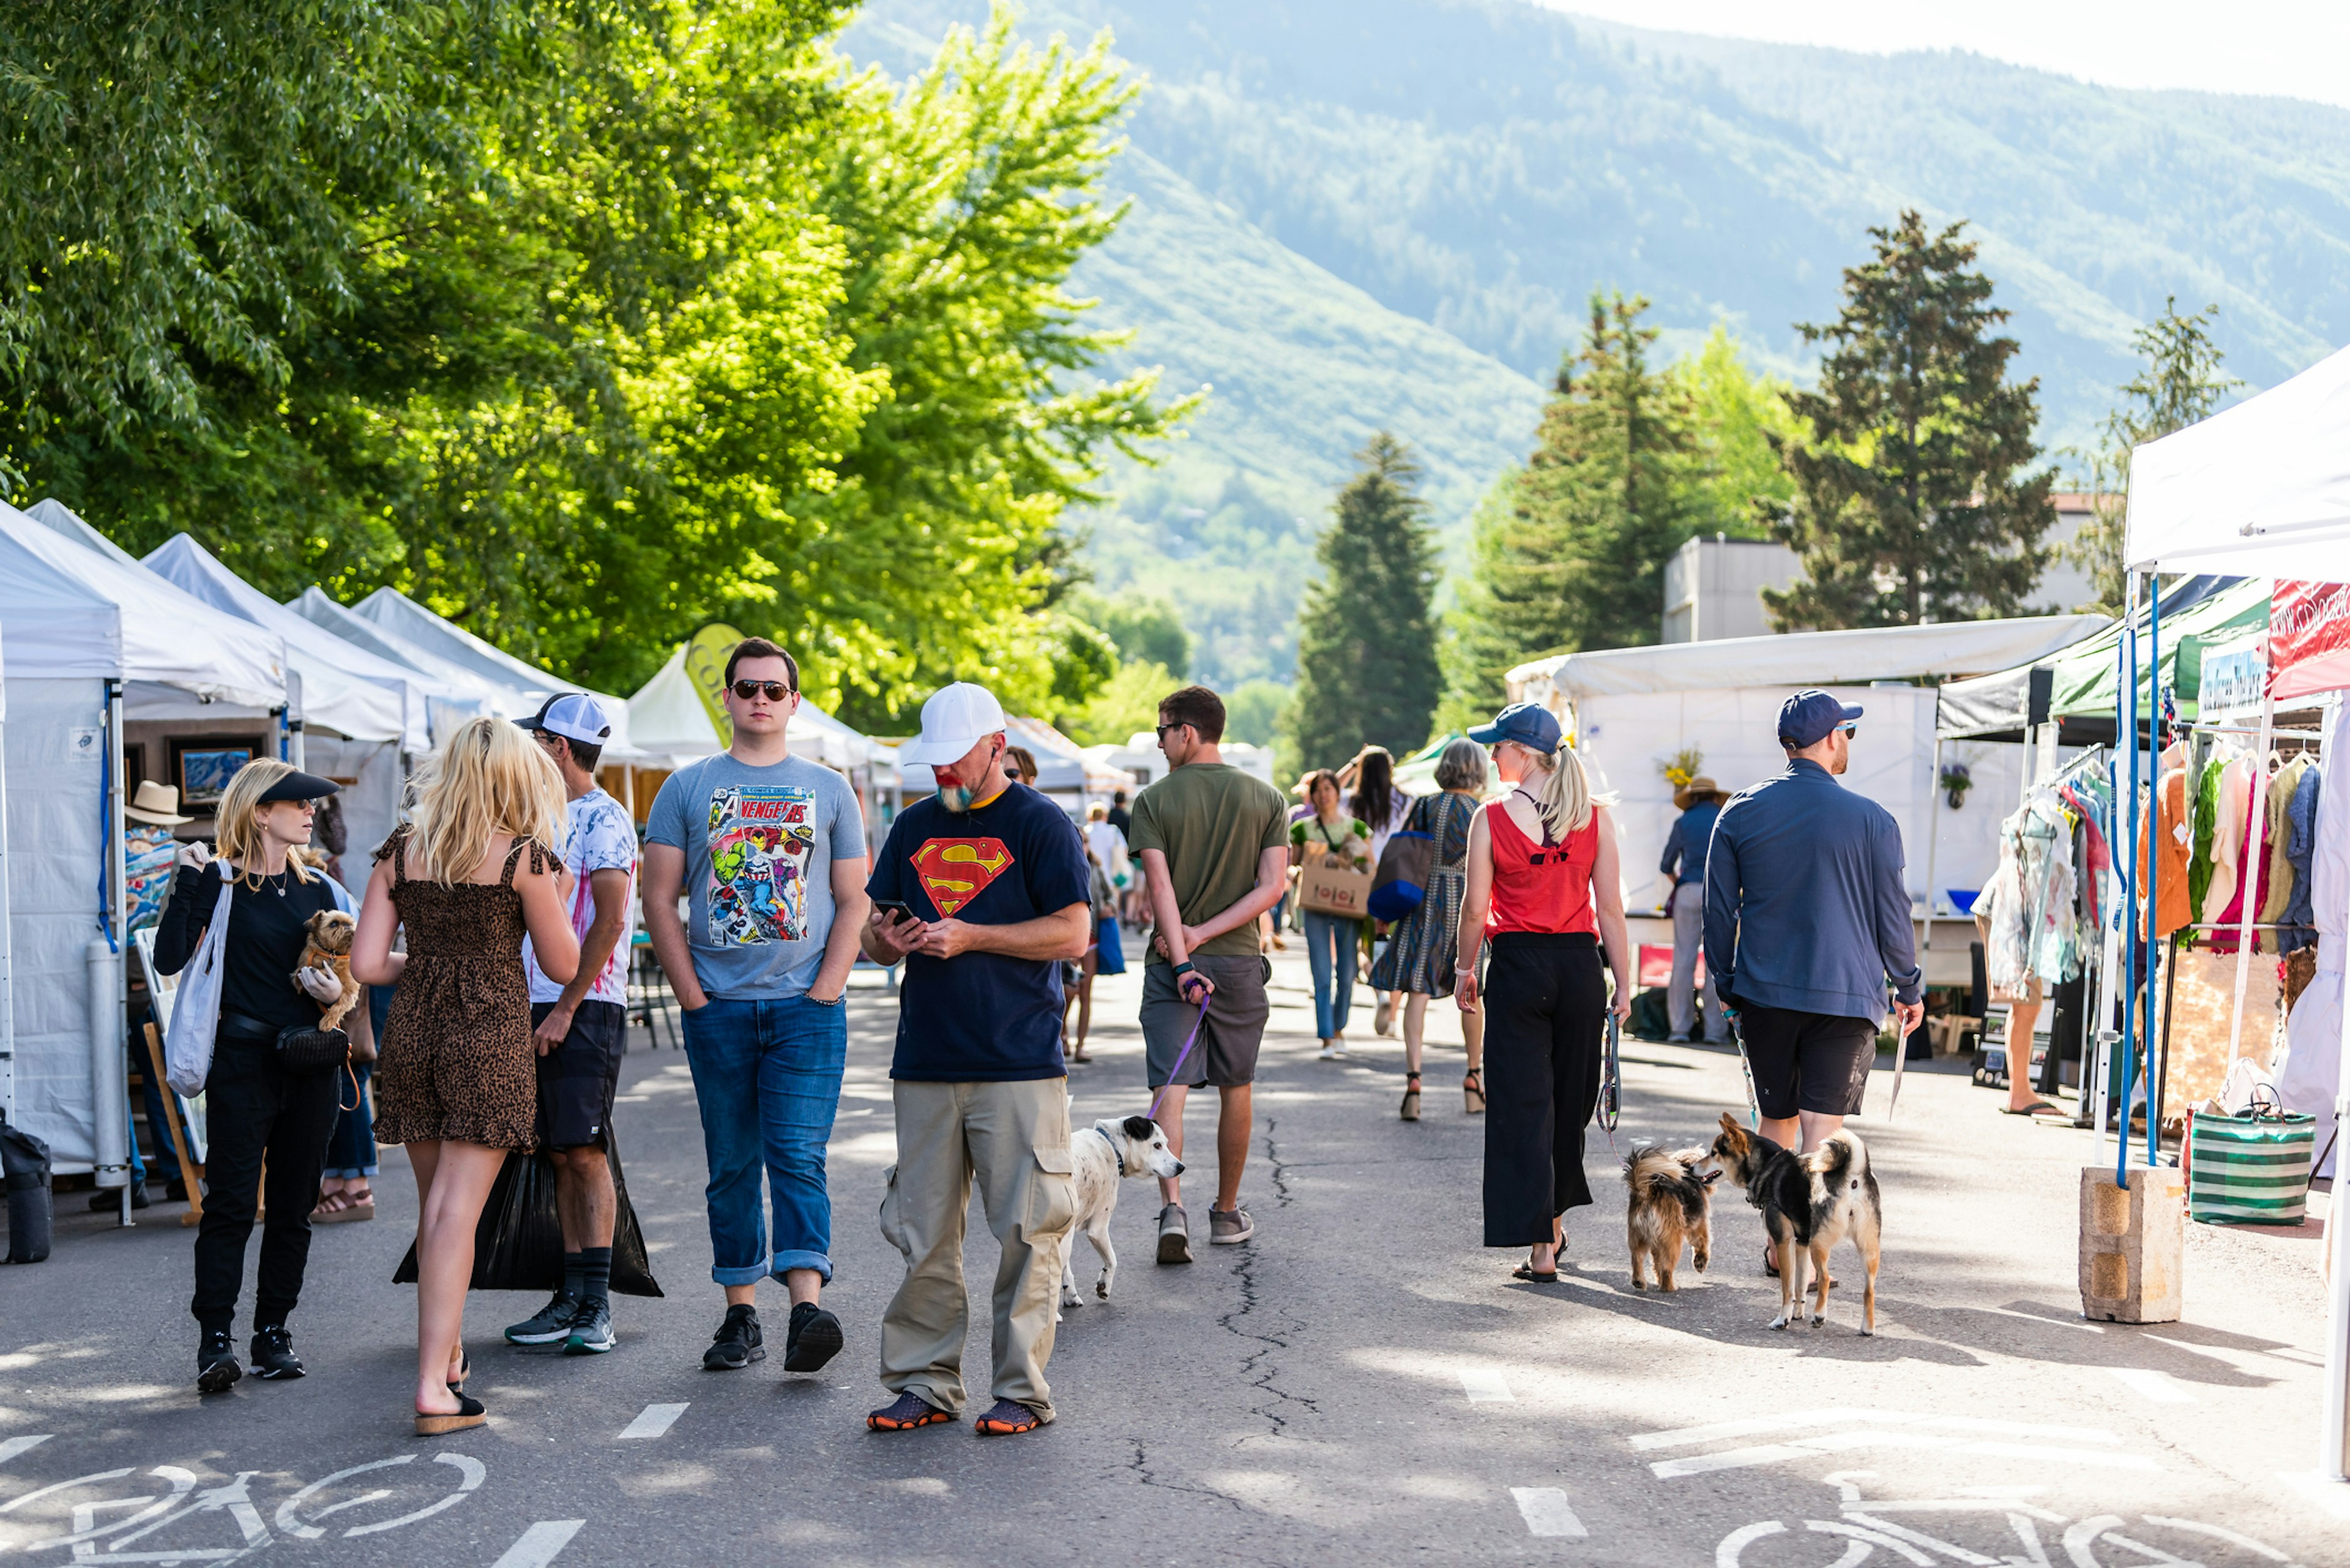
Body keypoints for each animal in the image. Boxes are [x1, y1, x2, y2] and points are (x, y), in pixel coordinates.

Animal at [1062, 1114, 1184, 1316]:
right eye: (1157, 1145)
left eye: (1166, 1143)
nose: (1181, 1167)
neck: (1111, 1145)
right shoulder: (1098, 1229)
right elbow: (1112, 1260)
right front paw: (1104, 1286)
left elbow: (1066, 1271)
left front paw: (1071, 1296)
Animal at [1720, 1105, 1880, 1335]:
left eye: (1714, 1153)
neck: (1769, 1166)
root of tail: (1853, 1178)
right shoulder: (1802, 1243)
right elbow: (1801, 1285)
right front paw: (1797, 1313)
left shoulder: (1784, 1242)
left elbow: (1788, 1289)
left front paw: (1783, 1319)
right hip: (1867, 1247)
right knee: (1869, 1289)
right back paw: (1867, 1327)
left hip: (1819, 1244)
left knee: (1824, 1279)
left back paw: (1820, 1316)